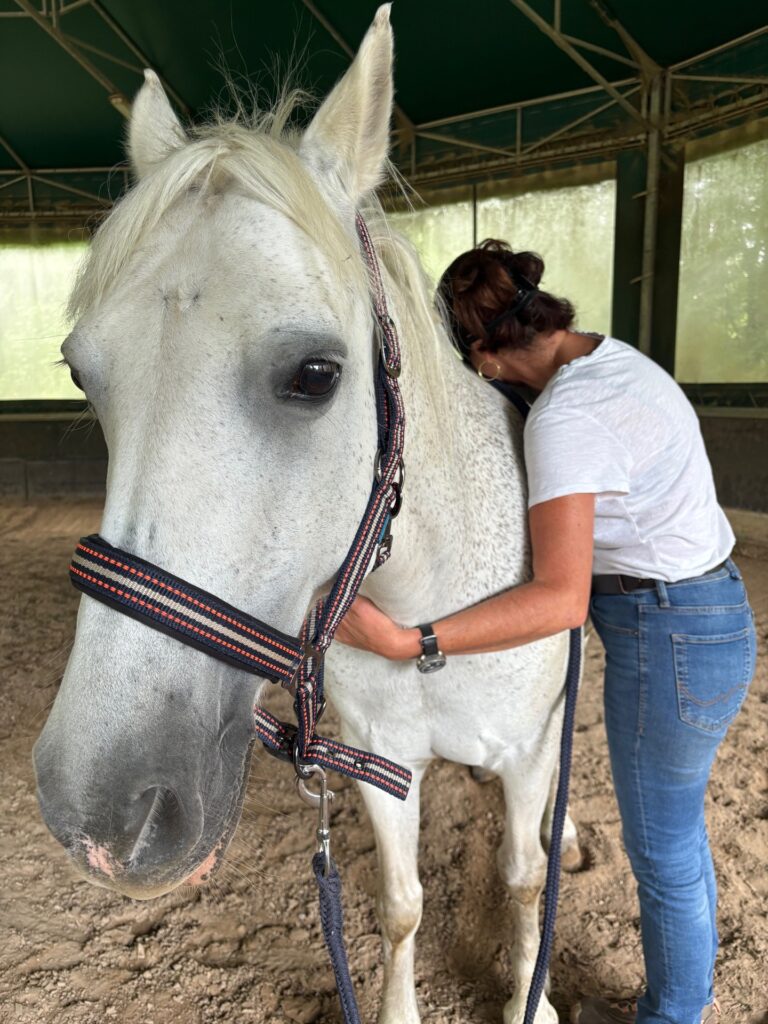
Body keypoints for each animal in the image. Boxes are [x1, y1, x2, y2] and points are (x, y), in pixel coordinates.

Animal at [33, 7, 581, 1022]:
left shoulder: (526, 755)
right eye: (82, 374)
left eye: (316, 375)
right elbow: (403, 905)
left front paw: (536, 996)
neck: (435, 609)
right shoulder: (380, 764)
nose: (101, 812)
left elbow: (524, 877)